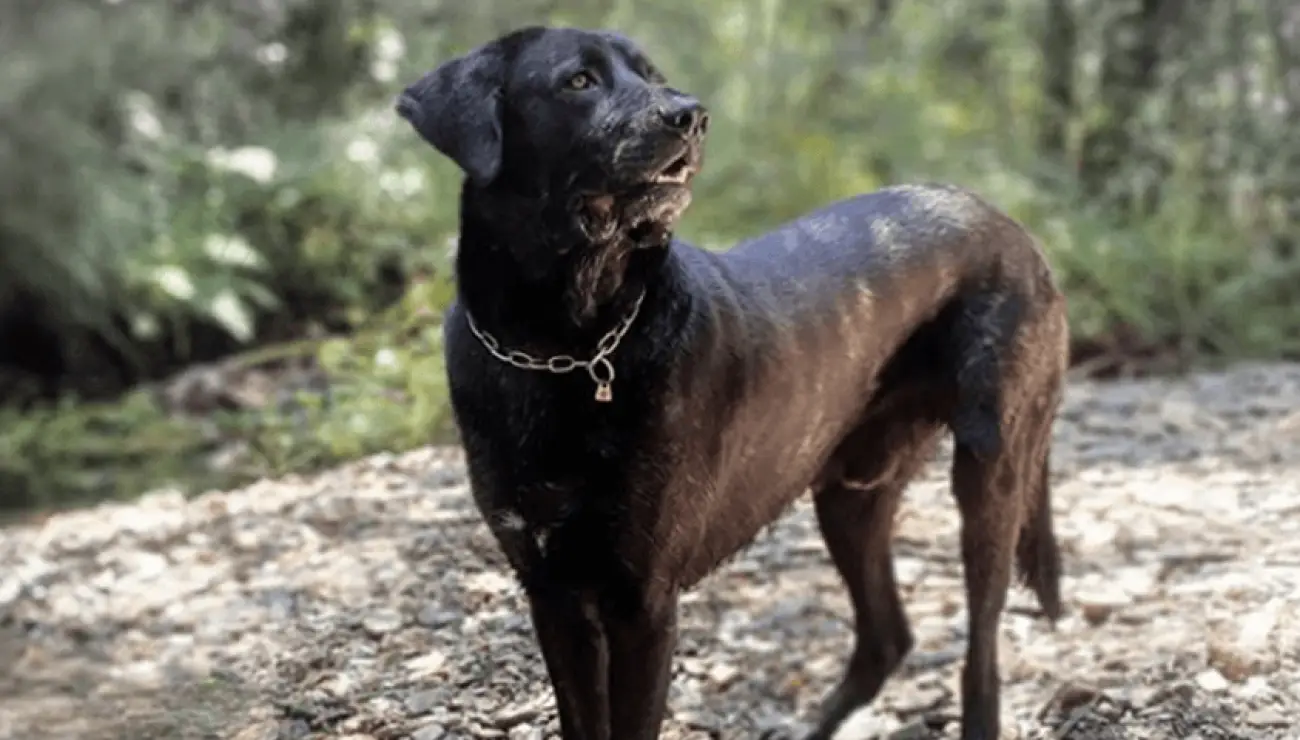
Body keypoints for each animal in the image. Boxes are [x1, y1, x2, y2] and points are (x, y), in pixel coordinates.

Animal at [395, 24, 1066, 738]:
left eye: (652, 75)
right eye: (579, 81)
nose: (690, 115)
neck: (564, 345)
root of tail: (1013, 226)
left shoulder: (641, 602)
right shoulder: (553, 594)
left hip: (991, 473)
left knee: (980, 656)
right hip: (850, 496)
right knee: (887, 637)